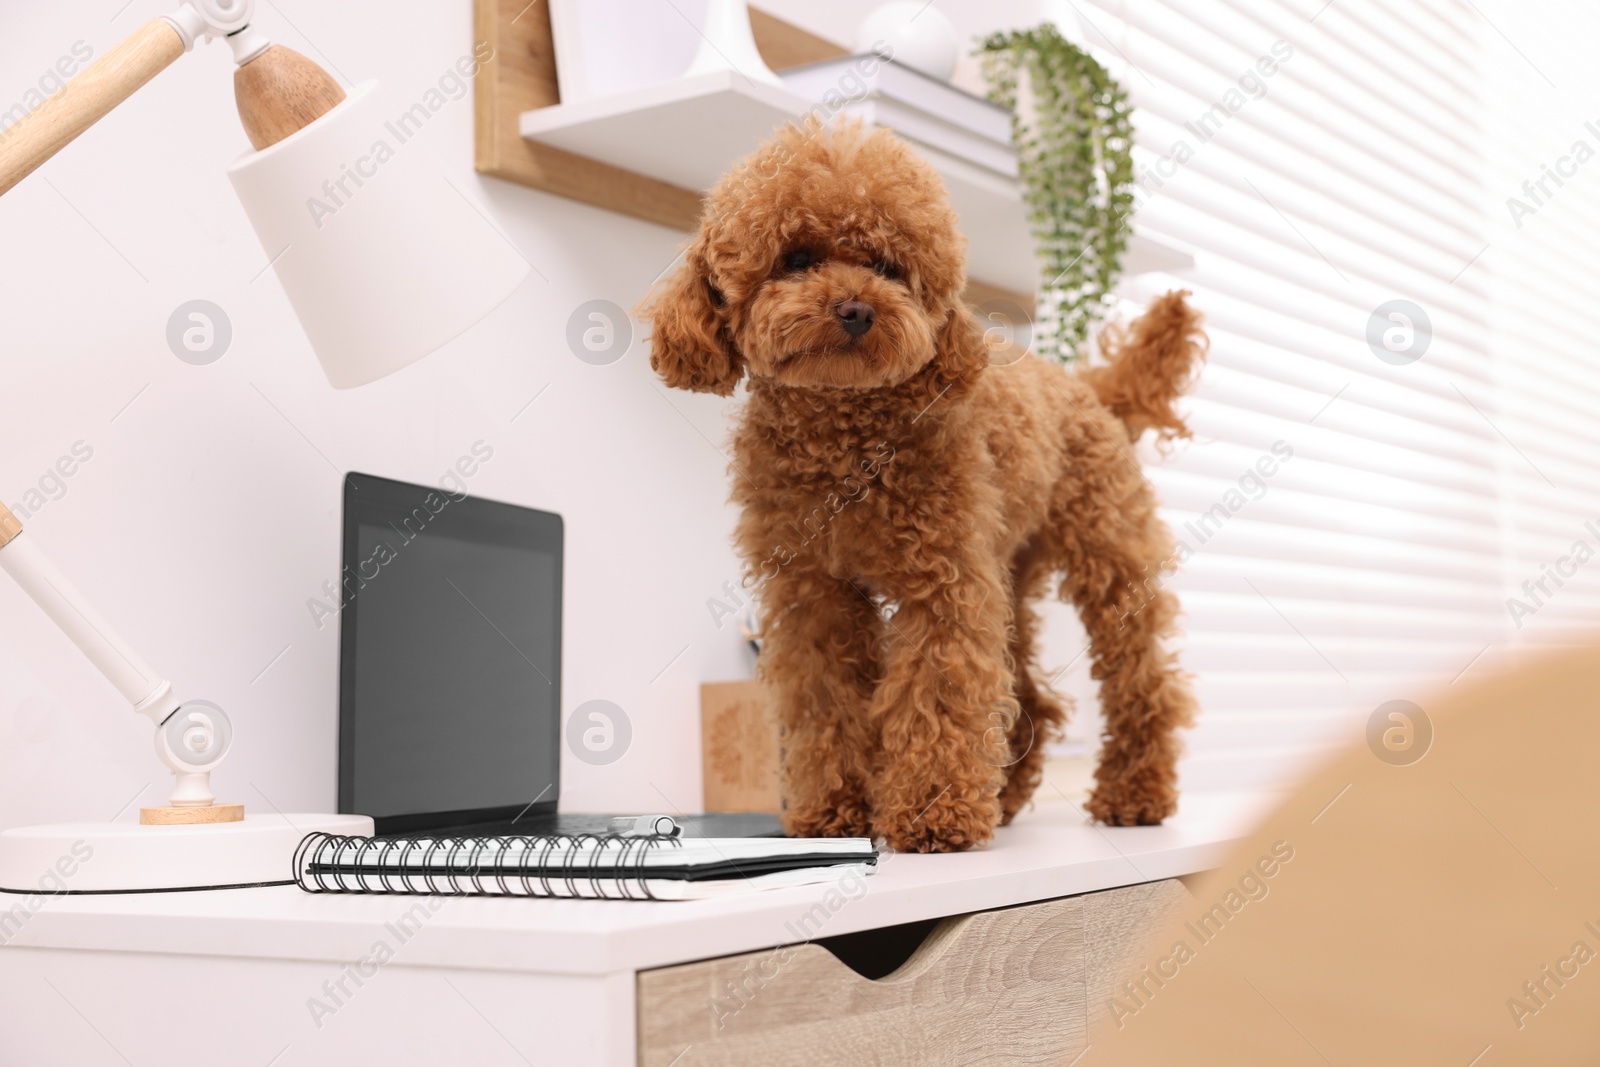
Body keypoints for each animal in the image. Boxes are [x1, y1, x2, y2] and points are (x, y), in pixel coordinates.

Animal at [643, 119, 1203, 851]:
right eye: (796, 258)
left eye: (888, 267)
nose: (856, 309)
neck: (845, 441)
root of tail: (1087, 388)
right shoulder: (811, 592)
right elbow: (826, 699)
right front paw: (835, 813)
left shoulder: (944, 582)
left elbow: (937, 688)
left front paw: (934, 814)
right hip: (1010, 571)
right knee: (1027, 693)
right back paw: (1005, 798)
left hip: (1106, 555)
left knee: (1143, 680)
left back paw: (1133, 795)